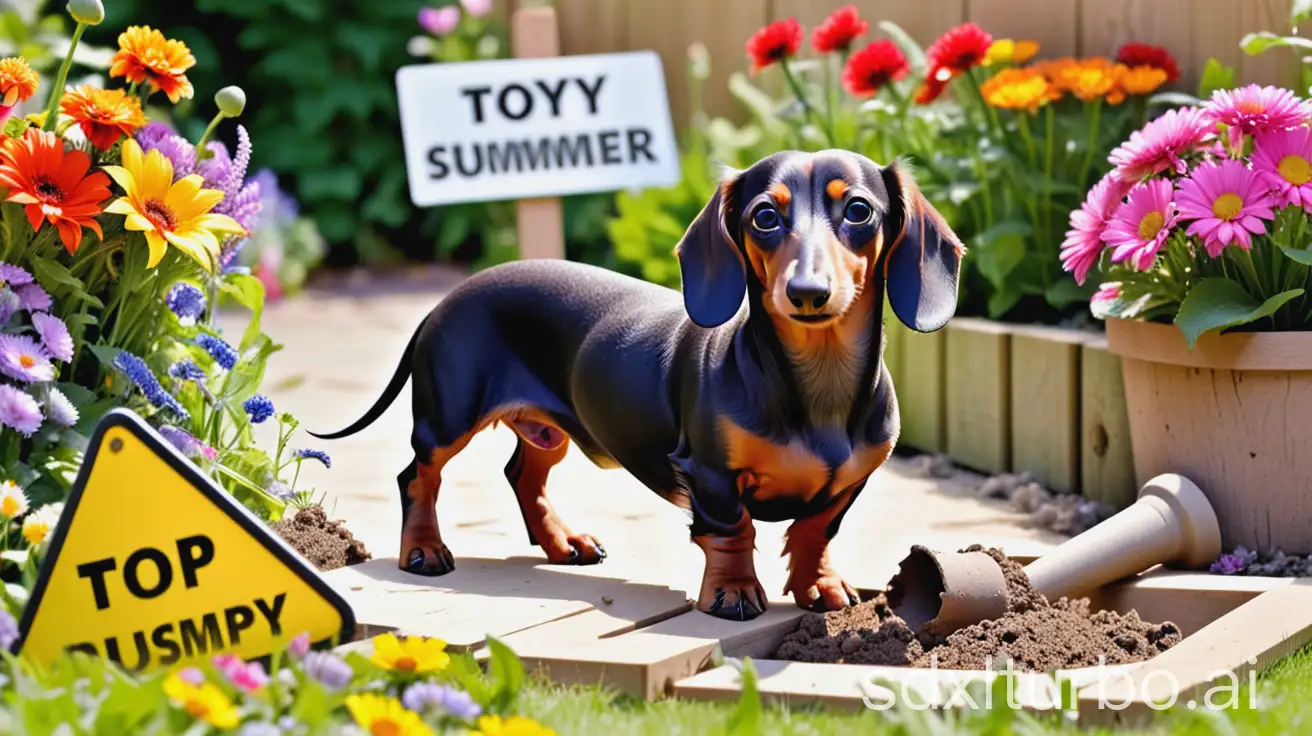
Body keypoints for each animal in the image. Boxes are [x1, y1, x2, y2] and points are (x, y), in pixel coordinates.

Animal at [308, 149, 965, 619]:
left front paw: (821, 588)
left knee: (524, 475)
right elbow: (733, 531)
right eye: (765, 216)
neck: (815, 385)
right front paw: (732, 593)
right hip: (448, 415)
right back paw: (424, 551)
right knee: (418, 475)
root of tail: (447, 299)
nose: (807, 292)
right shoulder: (710, 474)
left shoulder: (849, 481)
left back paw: (563, 544)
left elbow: (813, 531)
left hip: (548, 431)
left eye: (858, 211)